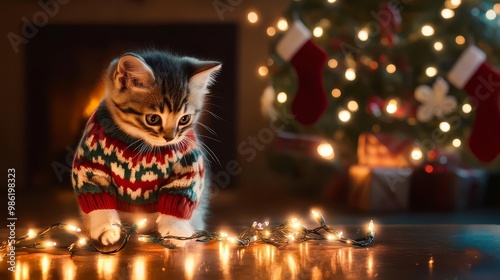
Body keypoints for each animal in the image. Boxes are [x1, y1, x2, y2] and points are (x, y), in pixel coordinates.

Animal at [72, 50, 221, 247]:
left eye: (184, 119)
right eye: (153, 119)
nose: (170, 138)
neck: (139, 139)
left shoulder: (189, 161)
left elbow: (181, 193)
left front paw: (176, 230)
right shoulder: (90, 159)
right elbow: (95, 189)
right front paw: (106, 227)